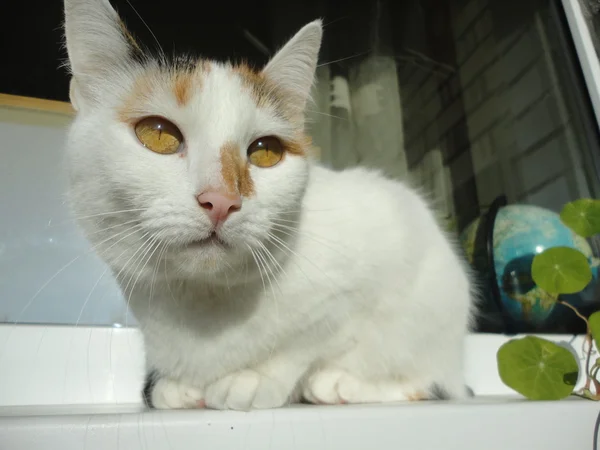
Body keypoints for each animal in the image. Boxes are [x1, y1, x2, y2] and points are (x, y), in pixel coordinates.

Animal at [61, 0, 474, 410]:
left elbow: (307, 341)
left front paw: (254, 378)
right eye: (158, 134)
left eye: (266, 151)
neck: (205, 304)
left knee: (436, 379)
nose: (222, 200)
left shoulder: (371, 258)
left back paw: (340, 385)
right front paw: (176, 386)